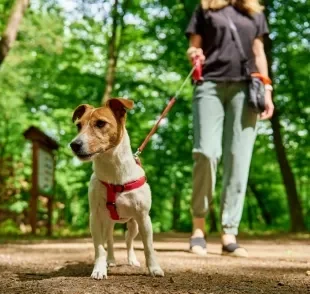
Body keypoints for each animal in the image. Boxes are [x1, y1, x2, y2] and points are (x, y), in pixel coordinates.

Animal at [70, 98, 165, 278]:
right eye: (79, 125)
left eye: (100, 123)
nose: (74, 144)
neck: (113, 173)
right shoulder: (95, 218)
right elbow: (99, 248)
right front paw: (99, 269)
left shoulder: (144, 218)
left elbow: (148, 247)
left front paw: (154, 268)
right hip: (108, 223)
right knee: (110, 240)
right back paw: (111, 260)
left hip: (134, 224)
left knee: (128, 240)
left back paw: (132, 260)